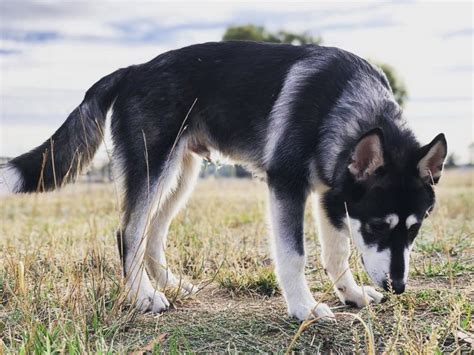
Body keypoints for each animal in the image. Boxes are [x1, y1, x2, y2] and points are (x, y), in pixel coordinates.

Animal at [0, 41, 446, 322]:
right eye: (378, 226)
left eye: (414, 229)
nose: (398, 287)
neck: (348, 103)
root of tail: (132, 71)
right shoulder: (287, 185)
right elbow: (295, 255)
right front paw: (303, 309)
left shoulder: (333, 197)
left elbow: (336, 253)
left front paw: (351, 295)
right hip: (154, 169)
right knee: (129, 233)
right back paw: (142, 296)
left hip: (180, 176)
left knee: (153, 233)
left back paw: (171, 284)